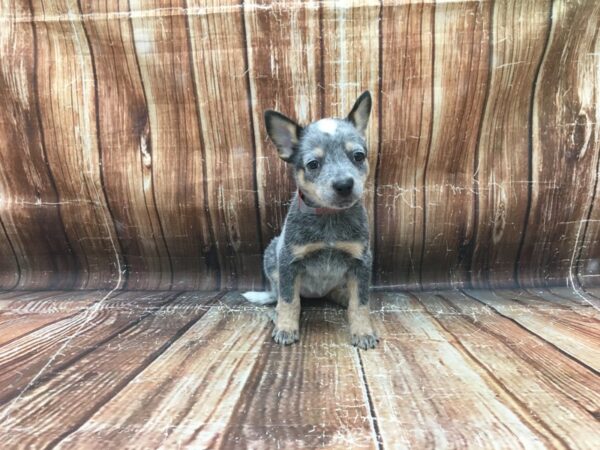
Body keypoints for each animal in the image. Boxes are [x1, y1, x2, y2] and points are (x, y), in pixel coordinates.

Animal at [241, 91, 378, 350]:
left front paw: (363, 331)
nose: (344, 184)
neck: (329, 219)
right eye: (313, 164)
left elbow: (361, 303)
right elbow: (289, 301)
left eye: (358, 156)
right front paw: (286, 327)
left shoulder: (361, 261)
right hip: (272, 256)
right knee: (279, 295)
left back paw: (342, 296)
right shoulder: (288, 261)